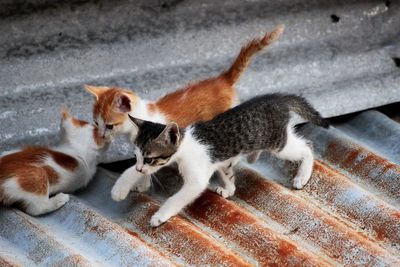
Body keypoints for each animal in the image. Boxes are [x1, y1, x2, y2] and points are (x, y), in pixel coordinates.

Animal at [111, 93, 328, 227]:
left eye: (149, 159)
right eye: (137, 157)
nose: (140, 169)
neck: (185, 145)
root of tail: (277, 99)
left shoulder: (196, 178)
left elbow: (177, 198)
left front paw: (159, 216)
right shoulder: (218, 162)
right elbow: (227, 172)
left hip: (278, 143)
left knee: (307, 146)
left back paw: (302, 176)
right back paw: (253, 156)